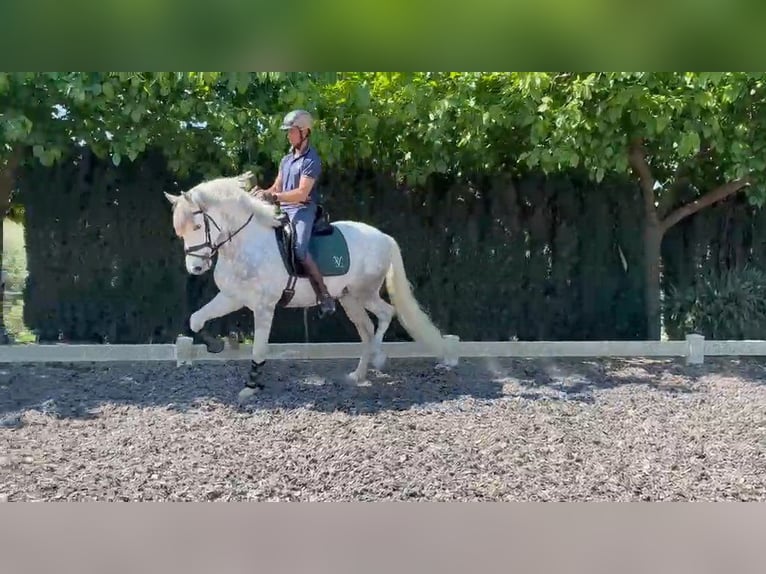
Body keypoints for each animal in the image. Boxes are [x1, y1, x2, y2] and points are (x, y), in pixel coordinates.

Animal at [164, 172, 456, 402]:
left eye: (197, 225)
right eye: (180, 231)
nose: (196, 268)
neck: (246, 244)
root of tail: (384, 236)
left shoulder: (264, 306)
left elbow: (259, 348)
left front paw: (251, 386)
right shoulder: (231, 297)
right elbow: (195, 320)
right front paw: (215, 345)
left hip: (365, 292)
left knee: (386, 314)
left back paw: (377, 358)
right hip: (349, 299)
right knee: (366, 328)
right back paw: (358, 374)